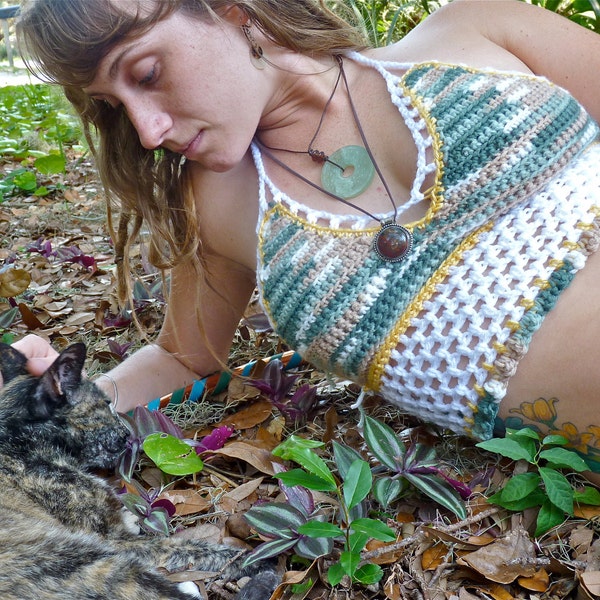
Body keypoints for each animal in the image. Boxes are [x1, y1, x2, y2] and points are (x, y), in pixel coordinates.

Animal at [0, 342, 278, 600]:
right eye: (106, 404)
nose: (127, 432)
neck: (14, 435)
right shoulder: (115, 539)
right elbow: (194, 549)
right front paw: (257, 559)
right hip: (94, 564)